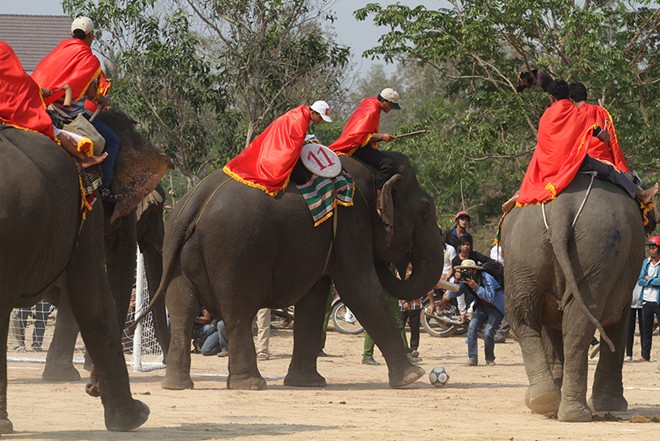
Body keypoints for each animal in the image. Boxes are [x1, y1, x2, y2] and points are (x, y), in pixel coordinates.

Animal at [152, 150, 446, 388]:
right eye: (424, 212)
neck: (372, 172)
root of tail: (193, 203)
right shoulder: (351, 219)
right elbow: (359, 287)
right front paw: (412, 377)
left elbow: (314, 298)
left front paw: (307, 383)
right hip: (234, 251)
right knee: (237, 311)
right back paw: (251, 384)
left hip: (177, 254)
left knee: (182, 309)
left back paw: (176, 385)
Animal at [500, 171, 648, 420]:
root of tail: (561, 210)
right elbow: (619, 320)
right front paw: (613, 405)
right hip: (596, 248)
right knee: (574, 323)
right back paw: (567, 410)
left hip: (524, 251)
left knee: (527, 318)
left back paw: (546, 401)